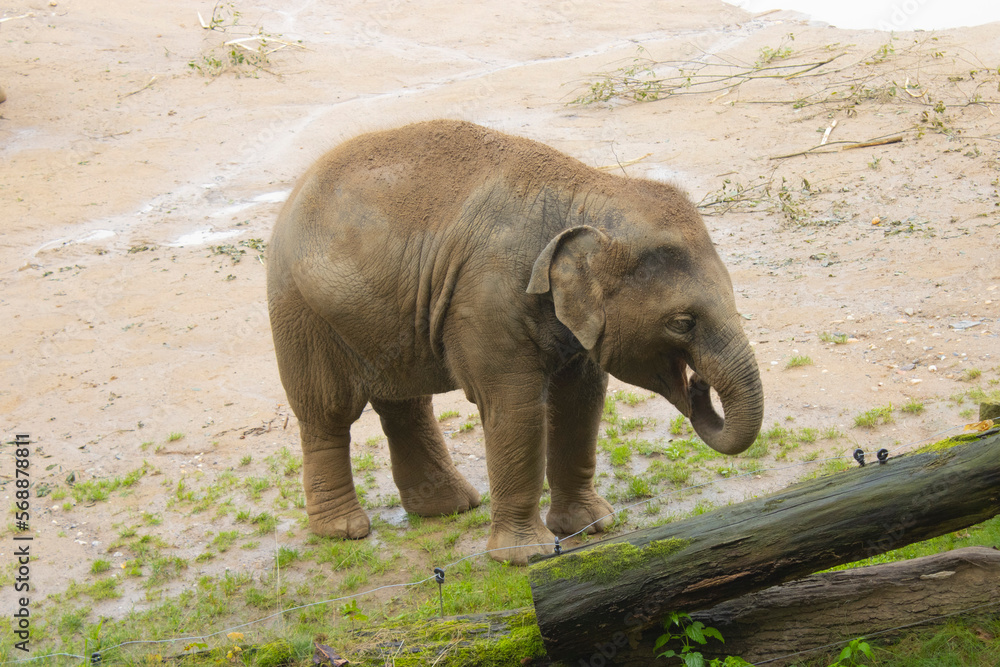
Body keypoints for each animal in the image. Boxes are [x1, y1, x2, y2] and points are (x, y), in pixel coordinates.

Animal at [267, 119, 764, 564]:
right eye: (682, 323)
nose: (699, 384)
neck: (588, 193)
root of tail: (295, 190)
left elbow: (581, 401)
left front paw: (593, 526)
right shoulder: (488, 298)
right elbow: (516, 408)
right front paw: (527, 556)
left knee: (403, 402)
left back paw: (449, 507)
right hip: (300, 309)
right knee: (328, 411)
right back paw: (344, 531)